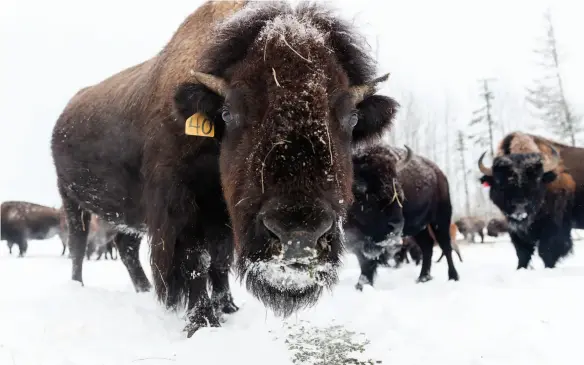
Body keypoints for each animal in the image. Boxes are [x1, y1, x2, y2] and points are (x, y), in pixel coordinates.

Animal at [50, 0, 400, 336]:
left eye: (351, 118)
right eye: (229, 113)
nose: (298, 234)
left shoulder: (225, 216)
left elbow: (219, 260)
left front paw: (227, 307)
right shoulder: (182, 208)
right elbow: (196, 259)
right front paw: (202, 321)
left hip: (122, 217)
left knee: (125, 248)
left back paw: (143, 289)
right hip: (71, 199)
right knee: (79, 243)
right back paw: (78, 286)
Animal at [344, 144, 458, 288]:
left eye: (399, 192)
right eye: (363, 190)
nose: (397, 225)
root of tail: (439, 173)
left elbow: (368, 262)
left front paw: (362, 285)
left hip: (440, 219)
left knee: (446, 246)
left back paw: (453, 277)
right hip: (420, 227)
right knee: (427, 247)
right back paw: (423, 277)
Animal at [480, 131, 584, 268]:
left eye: (536, 181)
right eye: (500, 183)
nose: (519, 212)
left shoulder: (553, 227)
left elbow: (547, 251)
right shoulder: (515, 230)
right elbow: (522, 253)